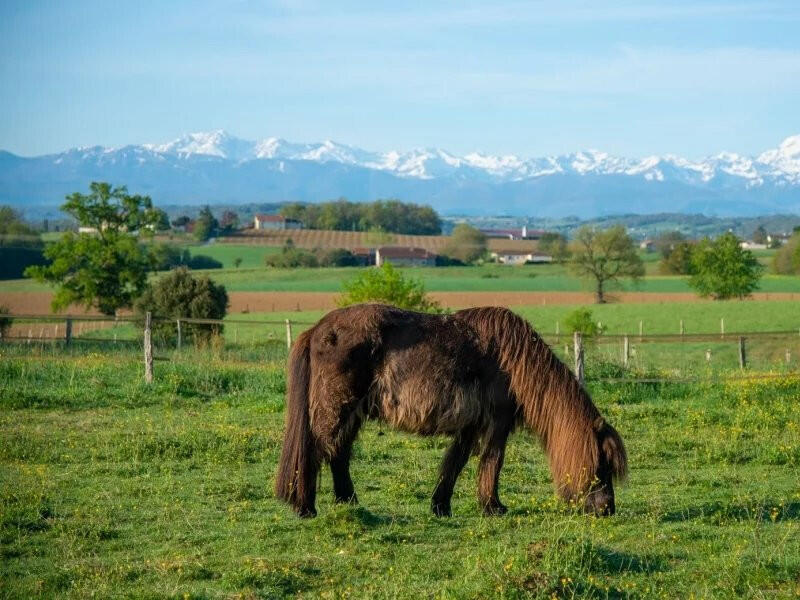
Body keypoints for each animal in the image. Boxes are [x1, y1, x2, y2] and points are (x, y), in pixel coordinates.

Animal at [274, 308, 624, 516]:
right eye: (602, 465)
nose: (607, 509)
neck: (515, 362)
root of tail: (317, 330)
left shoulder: (471, 425)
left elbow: (455, 462)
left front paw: (441, 505)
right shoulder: (497, 423)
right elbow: (492, 462)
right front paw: (492, 506)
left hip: (352, 414)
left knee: (339, 453)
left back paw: (349, 502)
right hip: (336, 409)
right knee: (316, 450)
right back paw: (306, 508)